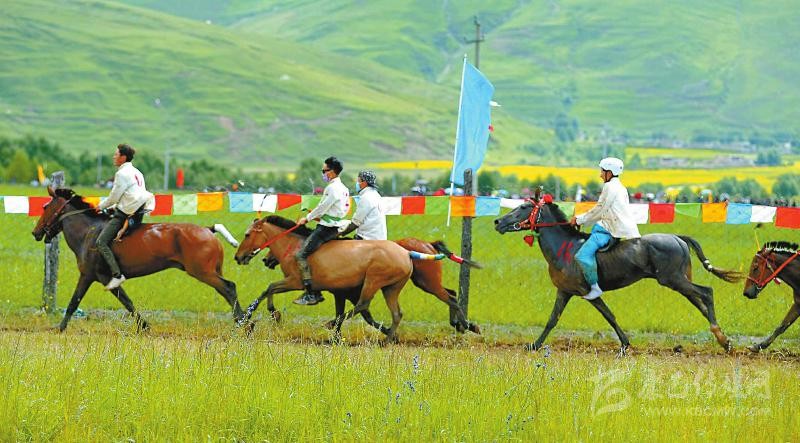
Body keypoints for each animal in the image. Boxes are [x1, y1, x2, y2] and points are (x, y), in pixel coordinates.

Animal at [31, 187, 244, 331]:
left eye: (45, 206)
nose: (36, 232)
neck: (87, 232)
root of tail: (208, 229)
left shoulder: (91, 276)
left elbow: (75, 302)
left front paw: (60, 328)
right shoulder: (99, 278)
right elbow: (127, 302)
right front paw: (144, 326)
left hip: (203, 272)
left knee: (229, 287)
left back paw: (243, 323)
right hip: (210, 272)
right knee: (226, 290)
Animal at [234, 215, 413, 342]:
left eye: (247, 235)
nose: (238, 257)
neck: (293, 247)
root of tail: (405, 253)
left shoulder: (295, 282)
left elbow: (270, 288)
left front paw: (268, 314)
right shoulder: (338, 293)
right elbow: (267, 291)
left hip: (373, 281)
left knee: (364, 304)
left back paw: (331, 323)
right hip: (391, 288)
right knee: (396, 313)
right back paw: (388, 339)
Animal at [261, 237, 482, 335]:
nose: (266, 259)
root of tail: (428, 244)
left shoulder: (345, 292)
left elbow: (358, 311)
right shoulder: (342, 293)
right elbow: (359, 314)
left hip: (425, 282)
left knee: (450, 297)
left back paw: (465, 325)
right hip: (424, 283)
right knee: (451, 294)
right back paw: (463, 325)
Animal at [493, 193, 742, 353]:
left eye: (523, 208)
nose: (497, 221)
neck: (565, 247)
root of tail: (677, 237)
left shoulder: (587, 292)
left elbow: (608, 315)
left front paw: (624, 344)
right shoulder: (564, 291)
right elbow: (552, 319)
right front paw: (534, 345)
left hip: (673, 280)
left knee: (707, 292)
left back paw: (721, 337)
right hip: (678, 281)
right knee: (700, 302)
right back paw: (723, 340)